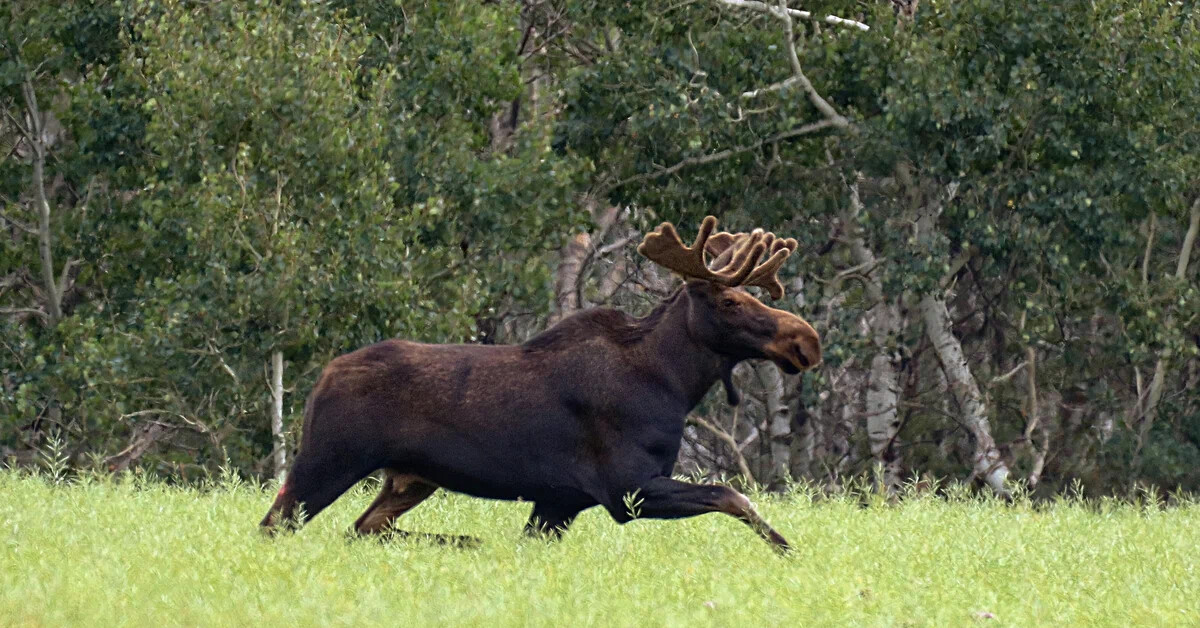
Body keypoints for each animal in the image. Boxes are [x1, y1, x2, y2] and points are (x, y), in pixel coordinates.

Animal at [260, 214, 825, 549]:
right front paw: (787, 550)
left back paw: (460, 541)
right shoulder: (626, 489)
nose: (807, 341)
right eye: (730, 301)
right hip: (329, 460)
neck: (674, 385)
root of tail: (322, 379)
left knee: (364, 528)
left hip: (411, 478)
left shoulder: (559, 502)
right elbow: (733, 496)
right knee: (275, 525)